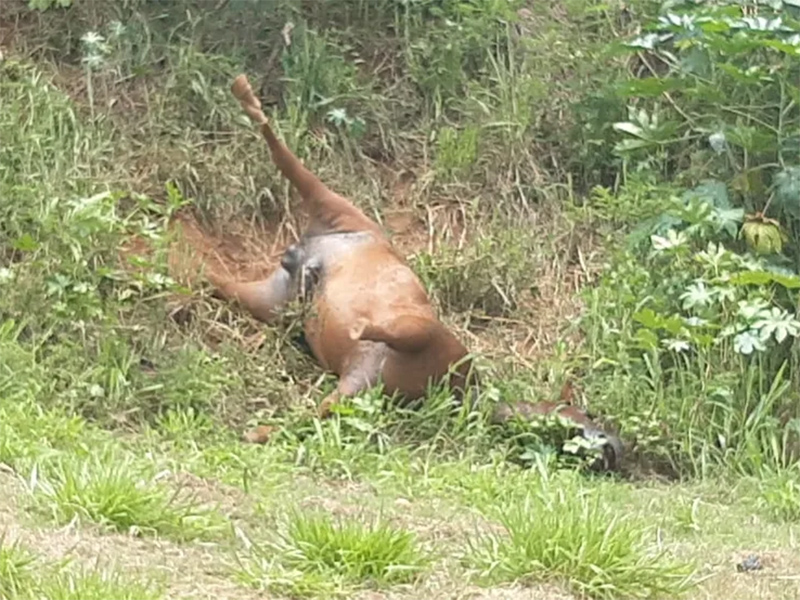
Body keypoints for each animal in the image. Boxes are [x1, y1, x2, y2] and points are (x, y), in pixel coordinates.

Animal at [200, 72, 624, 472]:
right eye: (589, 413)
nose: (618, 450)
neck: (460, 392)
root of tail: (304, 247)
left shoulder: (355, 388)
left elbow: (300, 421)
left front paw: (257, 433)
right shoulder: (421, 336)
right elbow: (390, 327)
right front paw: (360, 325)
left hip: (268, 299)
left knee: (214, 277)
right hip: (332, 203)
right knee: (278, 145)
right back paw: (246, 96)